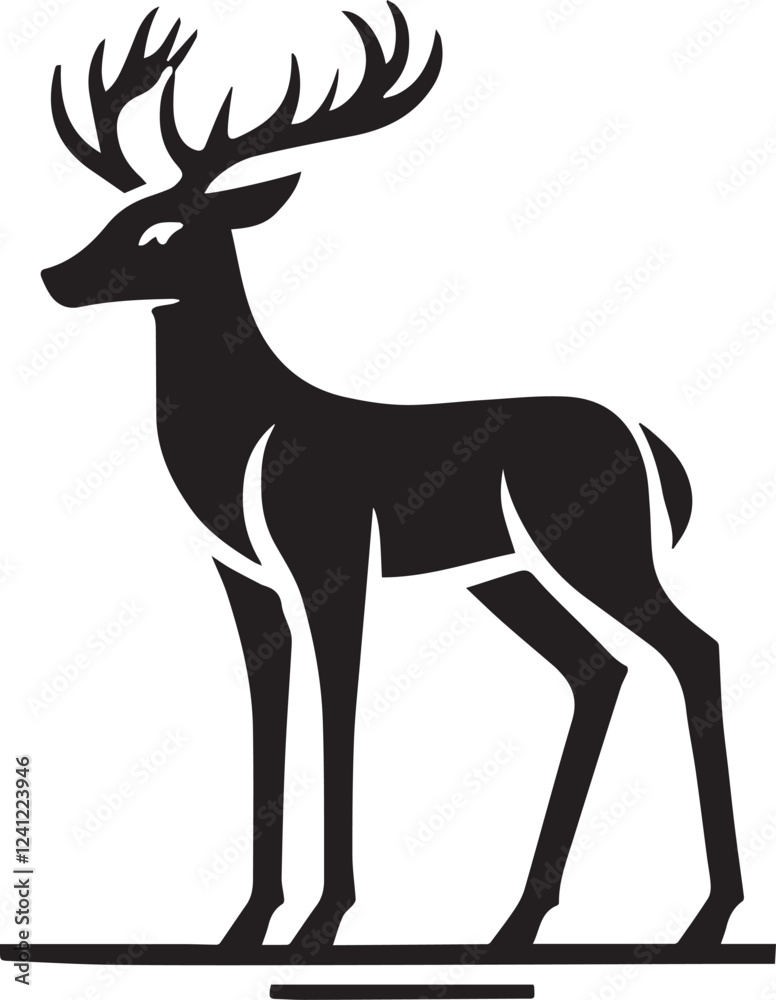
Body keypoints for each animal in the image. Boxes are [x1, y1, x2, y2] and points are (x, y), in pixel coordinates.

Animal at [42, 5, 744, 953]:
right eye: (117, 214)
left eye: (161, 231)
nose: (54, 276)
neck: (250, 436)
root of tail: (652, 446)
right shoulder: (243, 577)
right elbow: (270, 710)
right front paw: (246, 925)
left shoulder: (333, 558)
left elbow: (338, 709)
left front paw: (321, 923)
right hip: (505, 574)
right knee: (597, 669)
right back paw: (516, 923)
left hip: (598, 545)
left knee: (692, 648)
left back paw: (706, 919)